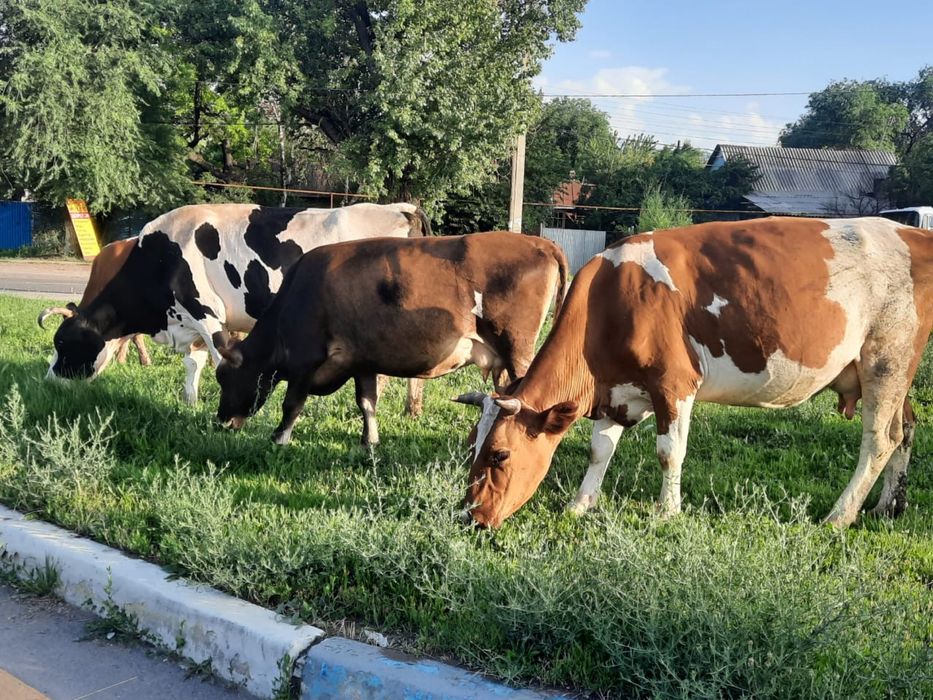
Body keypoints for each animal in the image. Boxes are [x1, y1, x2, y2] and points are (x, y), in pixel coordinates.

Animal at [44, 202, 430, 404]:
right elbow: (193, 364)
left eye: (62, 343)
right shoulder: (199, 321)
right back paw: (412, 409)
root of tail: (401, 208)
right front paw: (190, 402)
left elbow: (220, 362)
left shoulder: (206, 314)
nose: (47, 381)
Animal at [215, 232, 568, 447]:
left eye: (224, 377)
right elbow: (367, 402)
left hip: (517, 349)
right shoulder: (361, 361)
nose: (221, 421)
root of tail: (541, 243)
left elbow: (291, 403)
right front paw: (369, 441)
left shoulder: (305, 359)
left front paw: (279, 438)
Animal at [455, 217, 933, 529]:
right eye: (470, 447)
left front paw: (667, 512)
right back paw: (887, 507)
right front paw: (580, 504)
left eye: (499, 455)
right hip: (884, 371)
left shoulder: (674, 384)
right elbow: (599, 450)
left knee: (880, 439)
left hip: (886, 359)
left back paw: (839, 515)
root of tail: (912, 232)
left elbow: (669, 452)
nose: (471, 516)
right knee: (905, 428)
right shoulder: (617, 393)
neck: (608, 301)